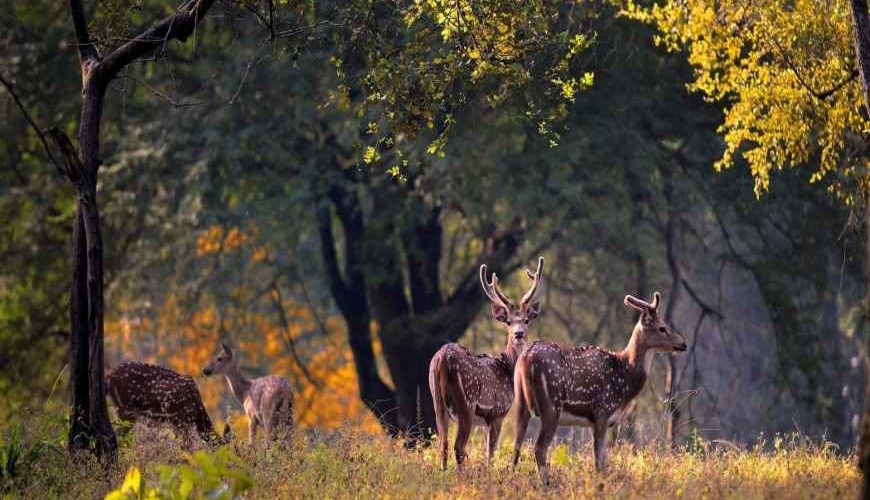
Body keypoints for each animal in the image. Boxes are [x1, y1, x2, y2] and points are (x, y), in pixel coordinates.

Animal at [430, 256, 544, 470]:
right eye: (508, 322)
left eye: (526, 320)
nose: (518, 334)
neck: (507, 369)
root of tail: (441, 360)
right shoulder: (497, 412)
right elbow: (490, 454)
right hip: (466, 402)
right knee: (458, 446)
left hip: (436, 401)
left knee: (443, 444)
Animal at [510, 292, 688, 482]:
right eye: (662, 328)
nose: (683, 344)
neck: (624, 379)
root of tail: (525, 359)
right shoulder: (602, 411)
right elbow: (599, 463)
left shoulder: (597, 421)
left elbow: (605, 461)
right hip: (551, 405)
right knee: (539, 448)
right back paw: (546, 483)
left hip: (520, 401)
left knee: (516, 446)